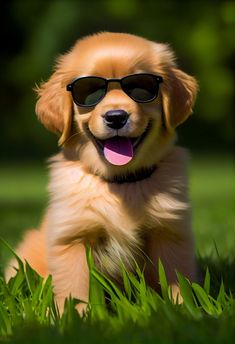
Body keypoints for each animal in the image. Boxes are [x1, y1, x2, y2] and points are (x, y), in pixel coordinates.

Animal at [5, 31, 198, 312]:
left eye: (141, 88)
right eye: (90, 93)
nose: (116, 116)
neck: (121, 182)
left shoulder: (169, 232)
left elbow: (174, 281)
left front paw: (183, 311)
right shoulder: (73, 238)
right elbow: (75, 290)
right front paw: (77, 317)